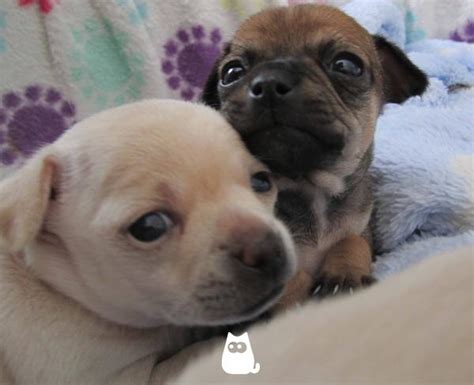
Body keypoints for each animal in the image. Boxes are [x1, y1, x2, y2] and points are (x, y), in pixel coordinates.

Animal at [202, 4, 428, 302]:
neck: (311, 190)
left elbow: (352, 240)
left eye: (346, 65)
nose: (269, 82)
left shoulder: (362, 229)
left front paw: (344, 274)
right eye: (231, 73)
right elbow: (288, 278)